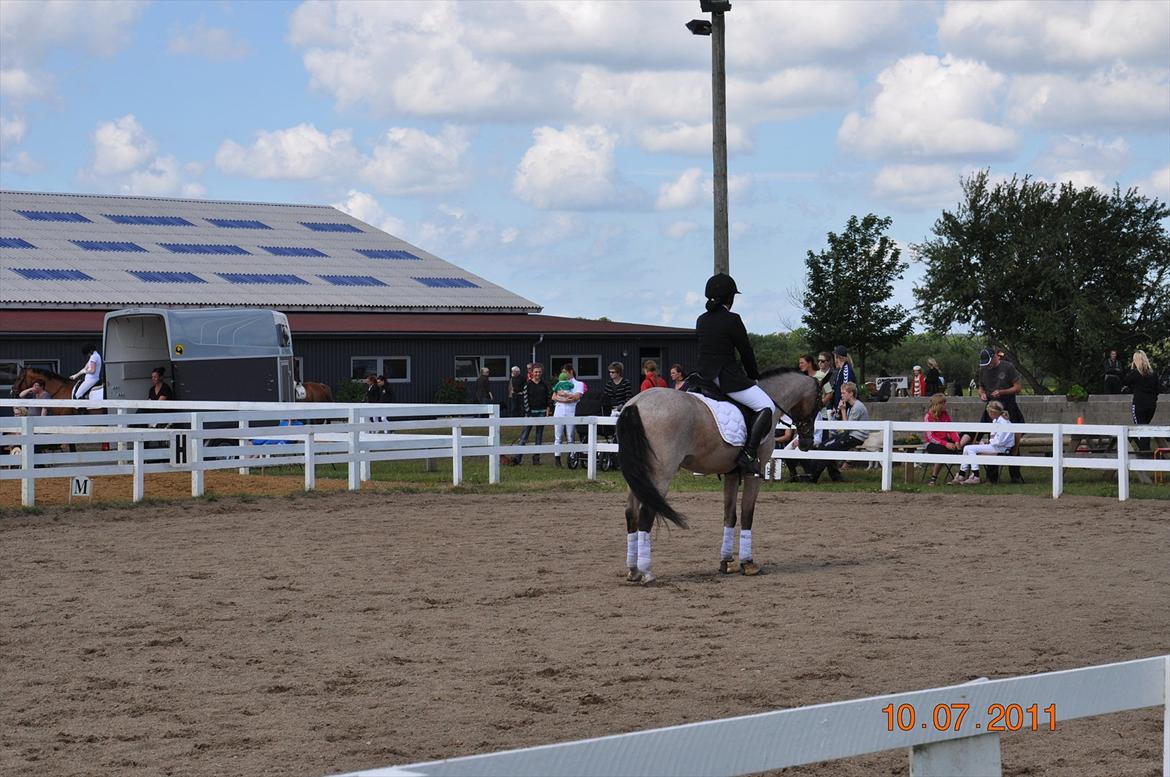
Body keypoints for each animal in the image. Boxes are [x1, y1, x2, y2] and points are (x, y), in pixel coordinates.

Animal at [617, 369, 819, 582]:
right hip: (661, 475)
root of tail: (636, 404)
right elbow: (747, 515)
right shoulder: (753, 474)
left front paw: (727, 562)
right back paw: (647, 572)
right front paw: (748, 563)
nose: (807, 442)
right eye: (819, 402)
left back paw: (633, 570)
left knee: (631, 514)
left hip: (638, 475)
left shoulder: (732, 474)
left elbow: (730, 515)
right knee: (646, 515)